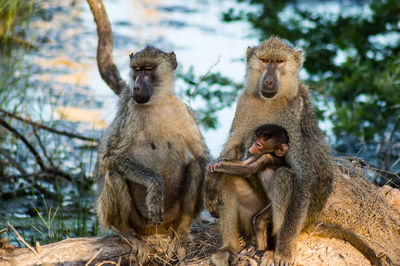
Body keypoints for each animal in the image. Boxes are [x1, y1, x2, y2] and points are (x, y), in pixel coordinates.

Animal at [94, 45, 209, 262]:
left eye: (148, 69)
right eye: (137, 70)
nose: (136, 87)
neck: (157, 103)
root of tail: (155, 231)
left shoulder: (180, 109)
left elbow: (203, 157)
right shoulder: (130, 111)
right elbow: (109, 158)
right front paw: (155, 186)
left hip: (171, 217)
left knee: (197, 166)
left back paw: (182, 231)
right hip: (139, 221)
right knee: (114, 175)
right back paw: (127, 233)